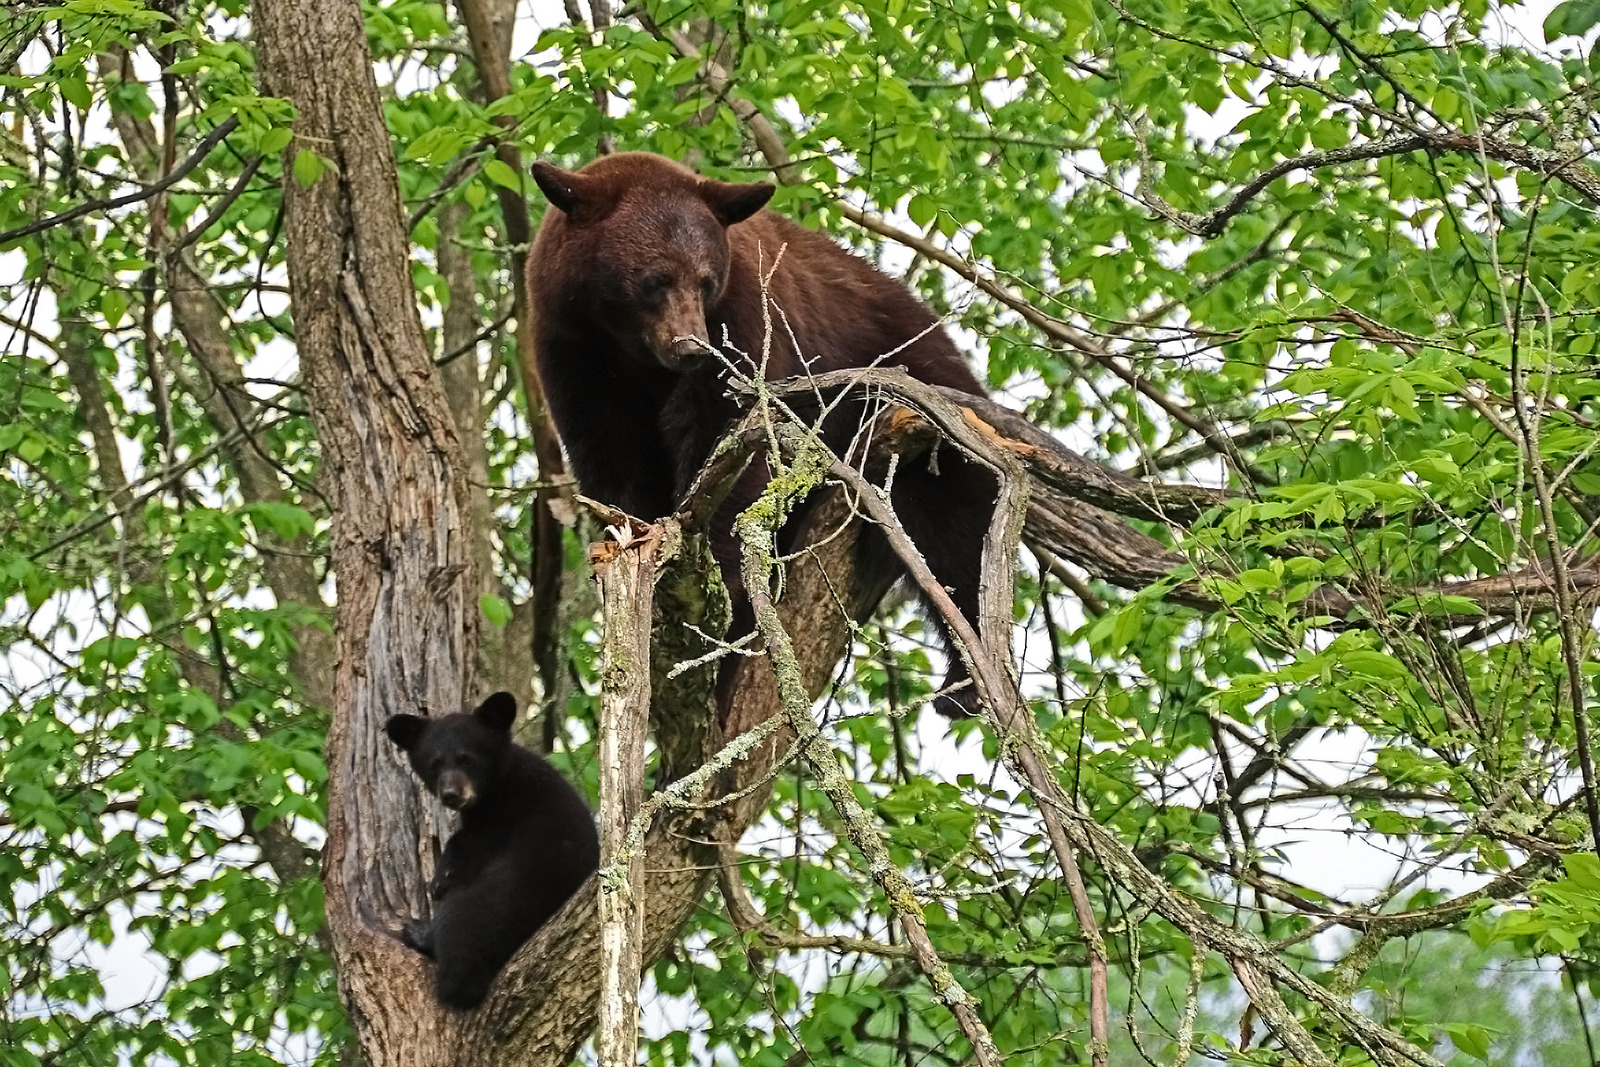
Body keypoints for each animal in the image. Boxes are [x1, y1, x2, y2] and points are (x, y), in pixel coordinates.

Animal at [384, 691, 599, 1010]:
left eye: (467, 759)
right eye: (435, 763)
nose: (451, 795)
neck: (497, 786)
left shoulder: (503, 815)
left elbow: (467, 844)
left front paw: (441, 878)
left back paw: (421, 934)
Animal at [527, 151, 995, 717]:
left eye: (707, 280)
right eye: (655, 279)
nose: (692, 347)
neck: (632, 352)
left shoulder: (747, 325)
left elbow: (732, 457)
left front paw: (722, 610)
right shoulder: (574, 352)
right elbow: (613, 460)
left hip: (918, 411)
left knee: (954, 533)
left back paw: (966, 680)